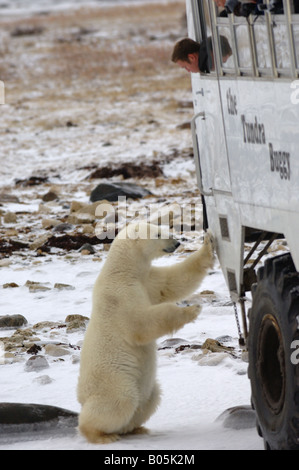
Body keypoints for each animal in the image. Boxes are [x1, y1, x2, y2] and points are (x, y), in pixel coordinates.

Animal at [77, 223, 213, 444]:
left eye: (163, 228)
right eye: (158, 234)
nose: (177, 242)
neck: (122, 271)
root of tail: (81, 398)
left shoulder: (148, 280)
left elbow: (173, 282)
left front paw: (208, 246)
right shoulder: (118, 296)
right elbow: (139, 324)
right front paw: (192, 310)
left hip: (147, 391)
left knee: (151, 398)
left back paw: (137, 429)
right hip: (114, 380)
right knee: (119, 402)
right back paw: (101, 435)